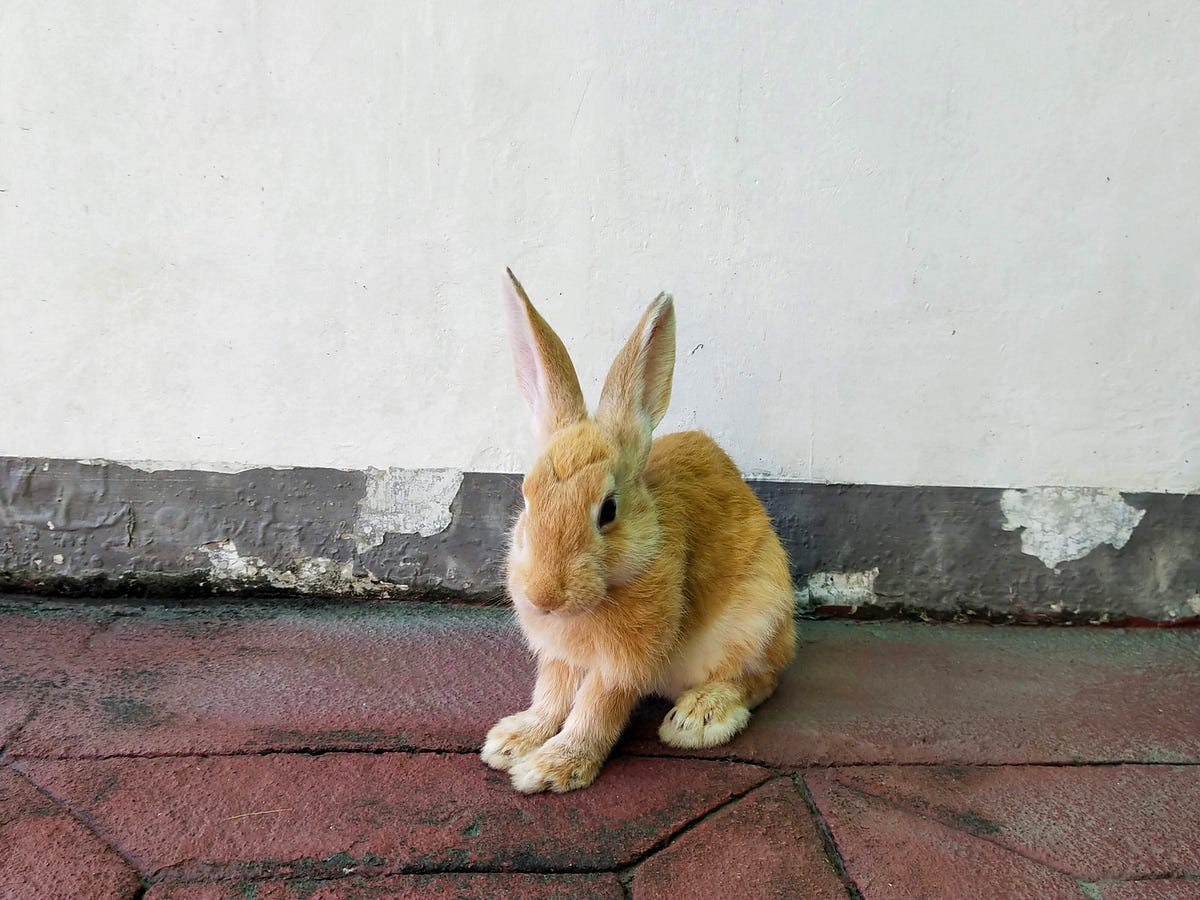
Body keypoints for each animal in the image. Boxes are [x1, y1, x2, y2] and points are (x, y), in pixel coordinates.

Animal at [481, 269, 796, 794]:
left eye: (608, 510)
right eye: (526, 498)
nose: (544, 596)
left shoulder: (624, 662)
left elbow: (597, 707)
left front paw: (552, 768)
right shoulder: (559, 656)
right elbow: (551, 694)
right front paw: (513, 741)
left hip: (756, 618)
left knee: (759, 679)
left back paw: (698, 718)